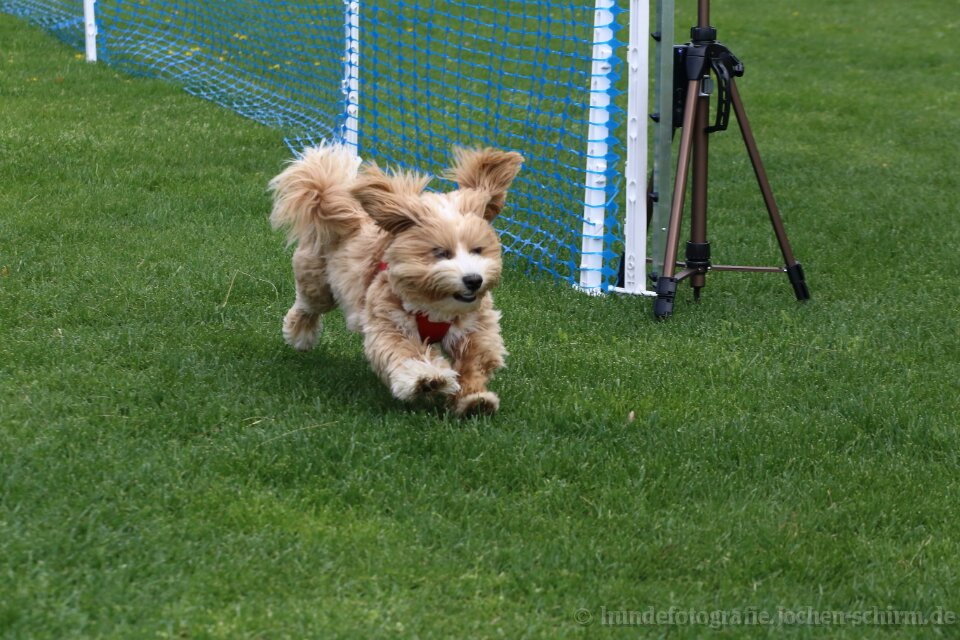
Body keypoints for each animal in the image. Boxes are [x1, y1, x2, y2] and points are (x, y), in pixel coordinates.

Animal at [269, 143, 523, 416]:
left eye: (477, 250)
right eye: (441, 253)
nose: (473, 280)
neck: (435, 304)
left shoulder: (473, 329)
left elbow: (474, 362)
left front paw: (475, 400)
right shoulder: (390, 321)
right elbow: (404, 353)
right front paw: (428, 379)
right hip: (317, 282)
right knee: (306, 306)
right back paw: (300, 336)